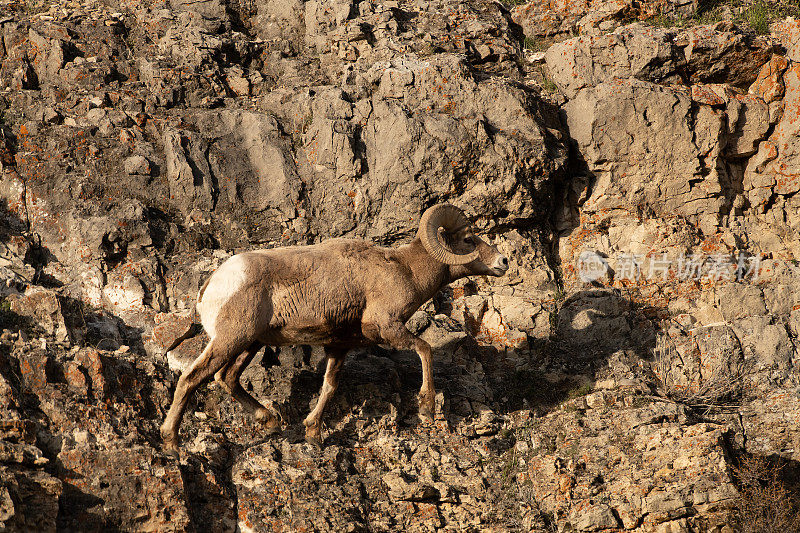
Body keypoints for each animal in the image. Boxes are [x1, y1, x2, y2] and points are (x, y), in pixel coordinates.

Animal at [161, 203, 506, 448]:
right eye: (468, 239)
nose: (503, 262)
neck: (406, 269)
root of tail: (213, 285)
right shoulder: (388, 326)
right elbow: (425, 349)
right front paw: (426, 407)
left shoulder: (338, 345)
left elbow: (329, 386)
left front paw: (312, 433)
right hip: (231, 339)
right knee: (192, 378)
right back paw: (172, 443)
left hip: (251, 343)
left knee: (227, 378)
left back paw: (270, 421)